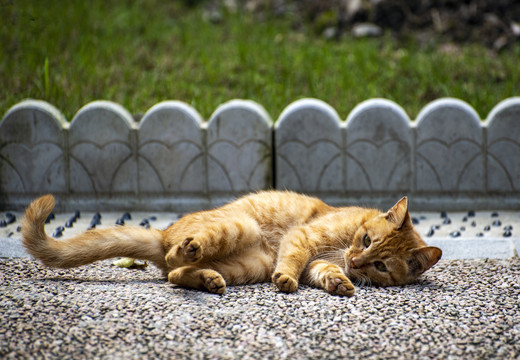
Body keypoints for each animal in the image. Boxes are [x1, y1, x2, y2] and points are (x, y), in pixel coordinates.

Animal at [22, 191, 440, 296]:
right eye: (366, 240)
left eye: (381, 266)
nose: (355, 263)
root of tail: (162, 234)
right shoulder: (303, 238)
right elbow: (293, 261)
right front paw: (287, 280)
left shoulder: (318, 261)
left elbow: (322, 271)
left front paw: (338, 282)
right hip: (239, 227)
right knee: (178, 257)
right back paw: (187, 250)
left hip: (247, 265)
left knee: (175, 274)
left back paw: (206, 279)